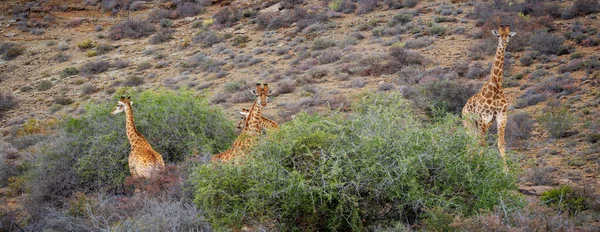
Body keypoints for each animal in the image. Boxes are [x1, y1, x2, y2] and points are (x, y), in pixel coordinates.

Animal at [464, 24, 516, 170]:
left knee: (475, 141)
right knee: (470, 142)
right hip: (469, 122)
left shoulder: (501, 116)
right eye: (498, 35)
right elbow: (482, 144)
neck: (496, 88)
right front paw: (478, 168)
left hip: (482, 124)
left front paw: (506, 170)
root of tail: (463, 108)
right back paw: (470, 162)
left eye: (508, 35)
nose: (504, 42)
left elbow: (501, 143)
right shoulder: (484, 117)